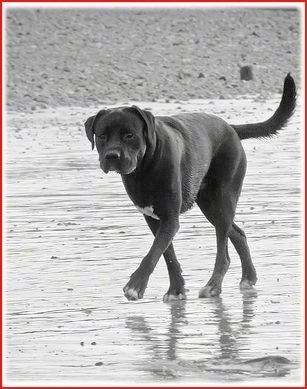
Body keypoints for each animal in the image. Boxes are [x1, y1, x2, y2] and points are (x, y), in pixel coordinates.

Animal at [85, 74, 298, 302]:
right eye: (102, 136)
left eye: (129, 135)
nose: (112, 156)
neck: (144, 168)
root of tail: (231, 128)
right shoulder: (154, 218)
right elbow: (167, 255)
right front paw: (176, 289)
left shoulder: (170, 218)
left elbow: (154, 253)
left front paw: (136, 286)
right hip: (210, 204)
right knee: (238, 233)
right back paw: (248, 278)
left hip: (222, 201)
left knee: (223, 254)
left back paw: (213, 286)